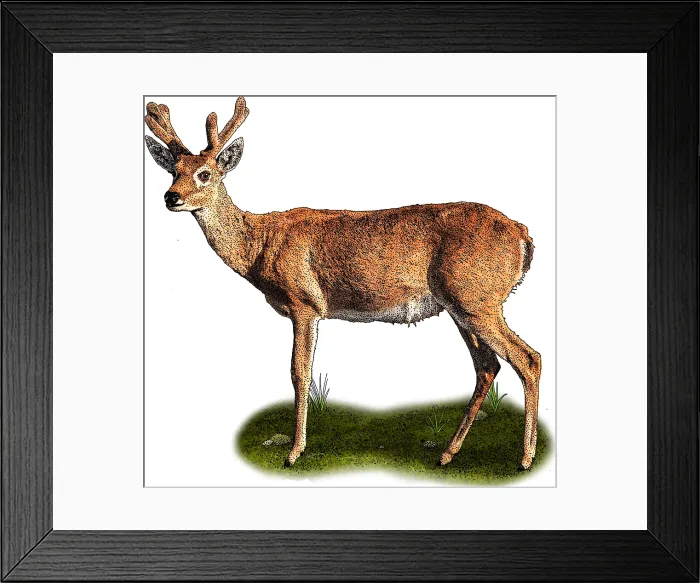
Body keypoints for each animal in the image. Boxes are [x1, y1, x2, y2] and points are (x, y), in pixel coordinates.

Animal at [145, 97, 542, 470]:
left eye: (205, 174)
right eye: (173, 171)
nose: (170, 197)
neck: (259, 245)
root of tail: (522, 234)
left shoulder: (304, 303)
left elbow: (299, 372)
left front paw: (294, 452)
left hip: (478, 299)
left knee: (528, 358)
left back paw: (524, 458)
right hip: (461, 306)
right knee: (488, 367)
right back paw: (448, 454)